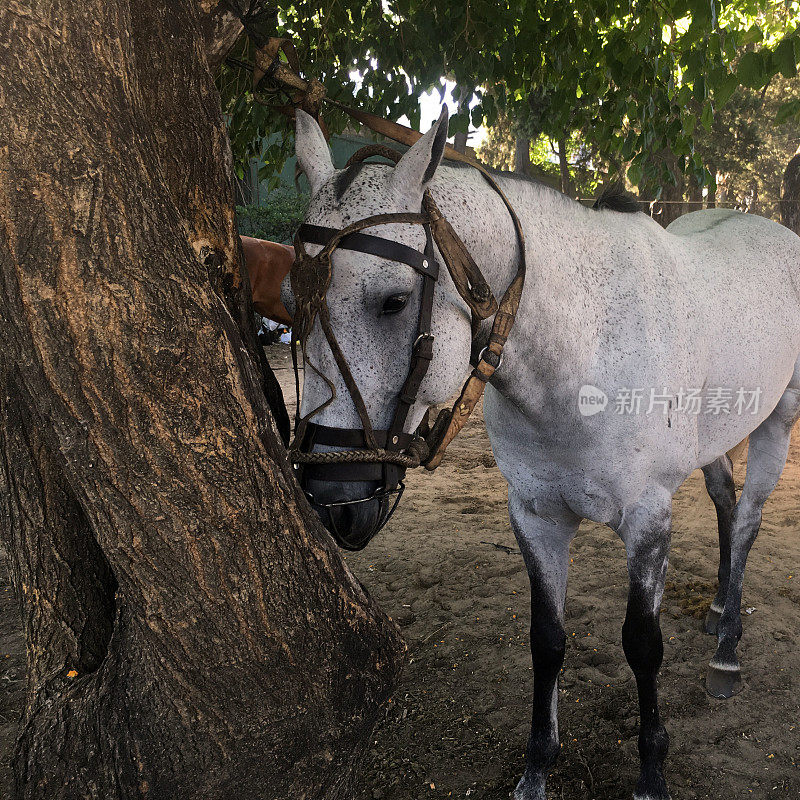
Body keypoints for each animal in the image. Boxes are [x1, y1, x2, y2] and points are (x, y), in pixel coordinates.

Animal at [290, 111, 800, 800]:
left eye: (393, 301)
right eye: (291, 300)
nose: (336, 501)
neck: (581, 351)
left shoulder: (648, 519)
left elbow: (643, 644)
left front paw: (651, 772)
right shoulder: (535, 515)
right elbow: (547, 639)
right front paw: (537, 767)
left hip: (778, 418)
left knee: (746, 519)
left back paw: (727, 649)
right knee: (724, 499)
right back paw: (721, 603)